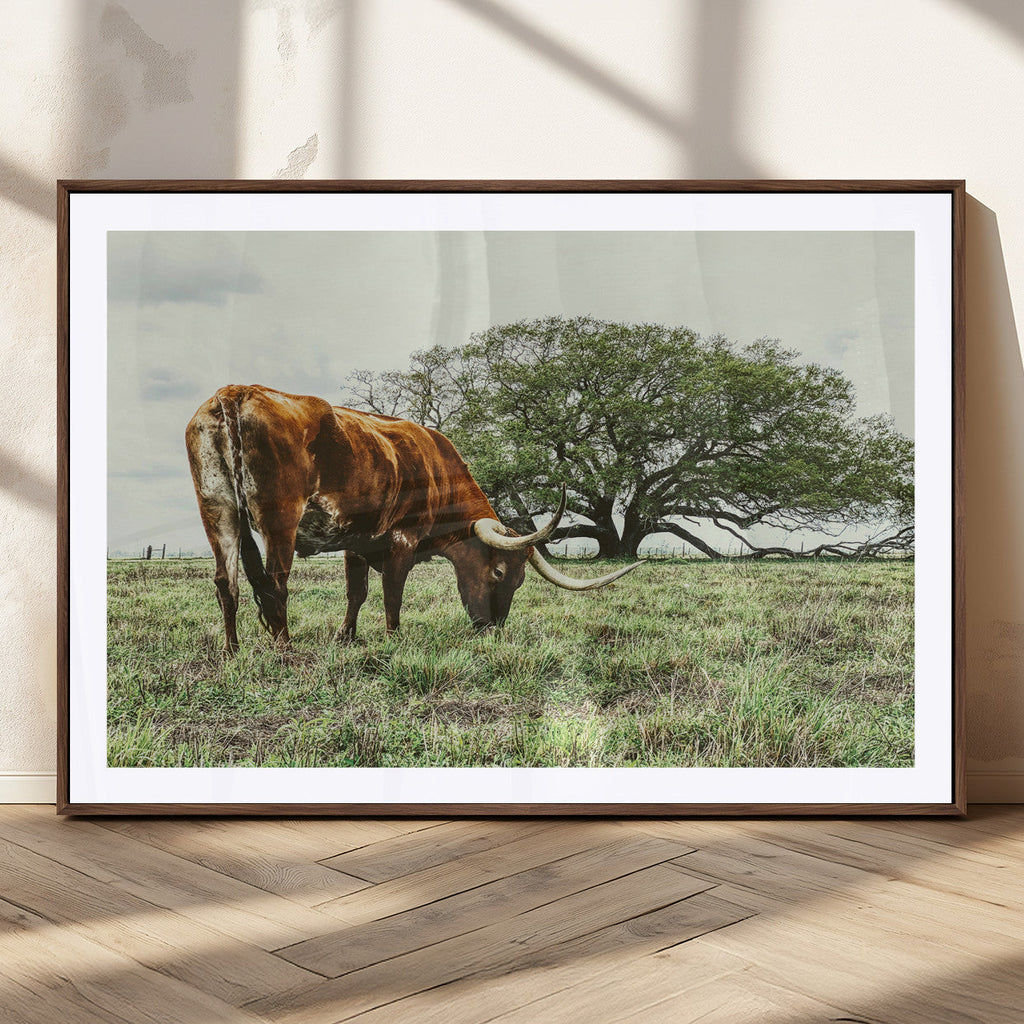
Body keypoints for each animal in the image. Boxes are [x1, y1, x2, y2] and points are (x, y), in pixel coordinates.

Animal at [185, 384, 642, 652]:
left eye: (520, 580)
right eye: (498, 572)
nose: (491, 628)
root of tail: (235, 392)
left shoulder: (355, 541)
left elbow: (356, 594)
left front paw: (346, 637)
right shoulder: (401, 540)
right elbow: (392, 594)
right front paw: (393, 638)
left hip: (217, 510)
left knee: (226, 582)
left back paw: (231, 650)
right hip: (280, 517)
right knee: (275, 582)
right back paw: (284, 649)